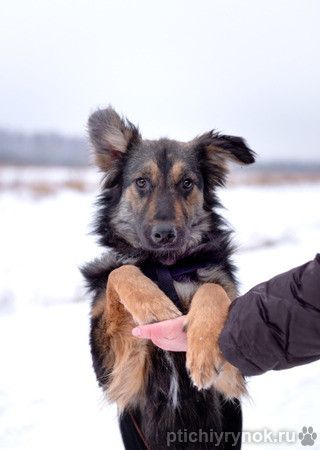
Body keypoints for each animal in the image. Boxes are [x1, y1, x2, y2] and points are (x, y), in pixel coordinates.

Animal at [82, 107, 255, 448]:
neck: (166, 267)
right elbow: (121, 271)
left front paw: (203, 348)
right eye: (141, 182)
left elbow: (212, 289)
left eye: (187, 183)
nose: (164, 234)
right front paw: (153, 305)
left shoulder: (231, 378)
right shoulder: (119, 370)